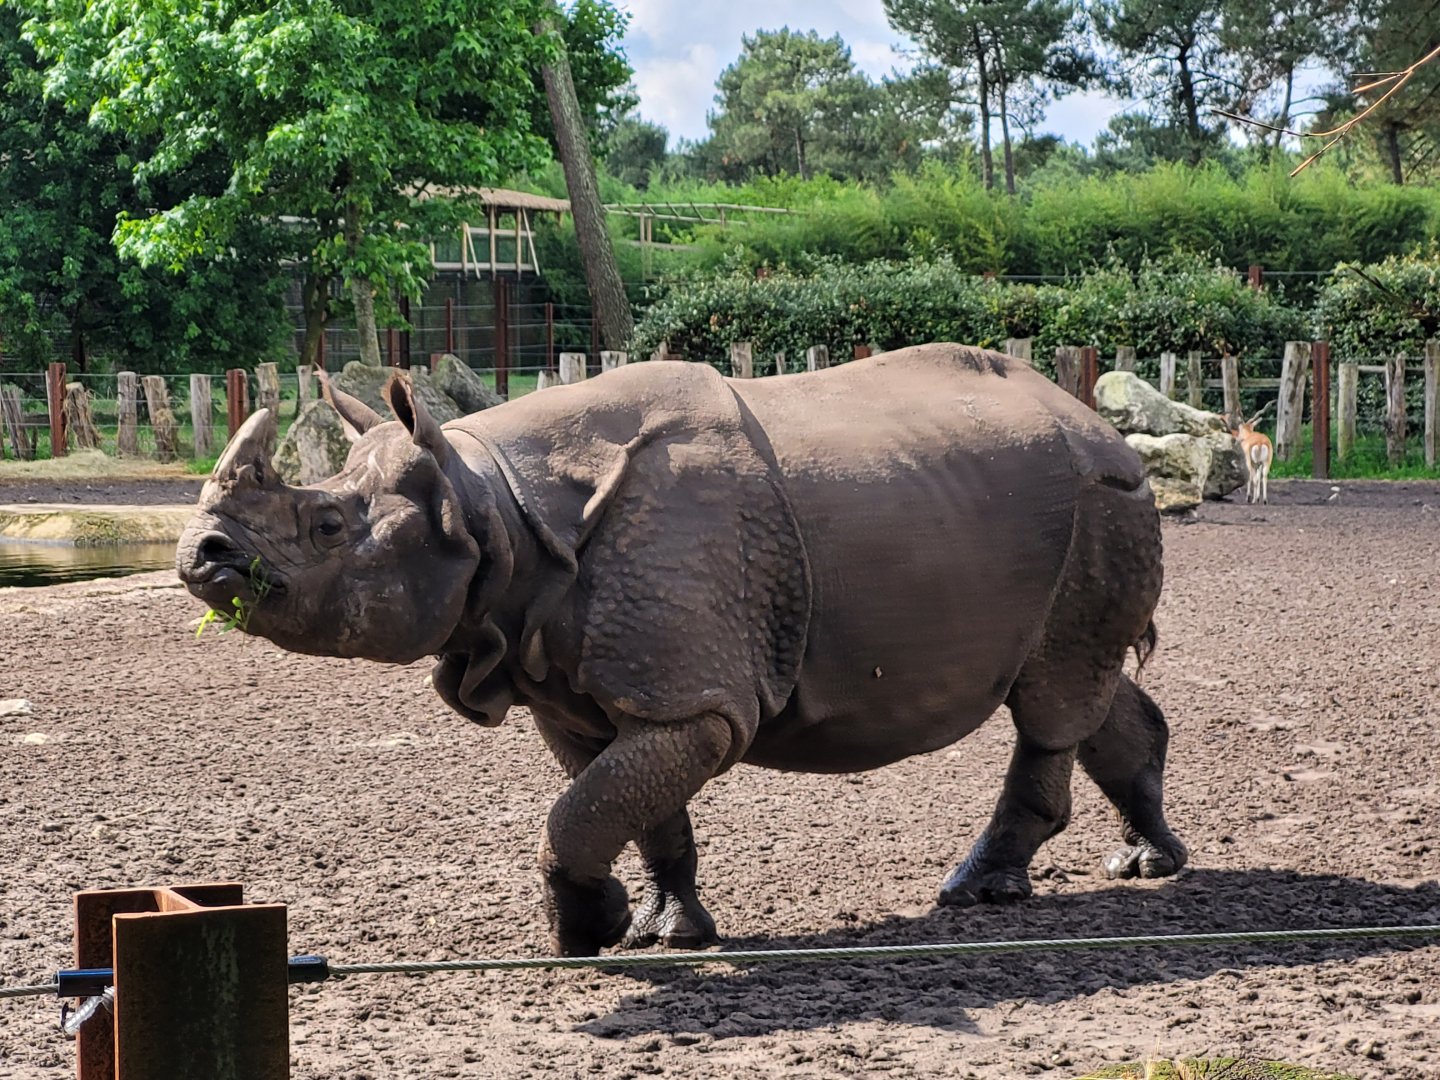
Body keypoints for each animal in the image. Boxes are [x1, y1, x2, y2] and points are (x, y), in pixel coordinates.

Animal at [176, 343, 1187, 956]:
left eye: (326, 526)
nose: (199, 556)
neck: (489, 505)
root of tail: (1103, 424)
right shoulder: (575, 691)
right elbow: (627, 804)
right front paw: (664, 932)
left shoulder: (692, 699)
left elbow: (583, 812)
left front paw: (588, 932)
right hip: (1067, 503)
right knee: (1079, 687)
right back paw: (1149, 867)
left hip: (1099, 498)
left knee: (1053, 694)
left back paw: (977, 894)